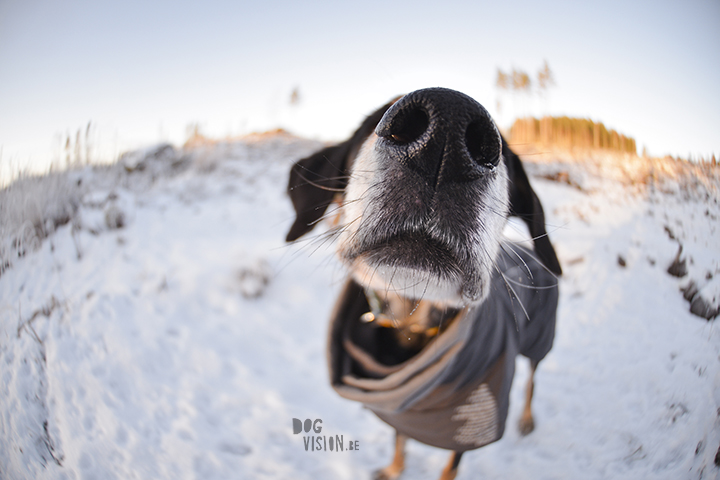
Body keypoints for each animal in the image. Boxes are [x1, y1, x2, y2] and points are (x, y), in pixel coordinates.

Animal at [286, 88, 564, 478]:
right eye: (371, 123)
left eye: (506, 155)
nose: (446, 136)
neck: (411, 319)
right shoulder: (401, 412)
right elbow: (400, 439)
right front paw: (394, 468)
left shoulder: (466, 428)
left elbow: (449, 468)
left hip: (540, 339)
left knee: (532, 382)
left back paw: (525, 418)